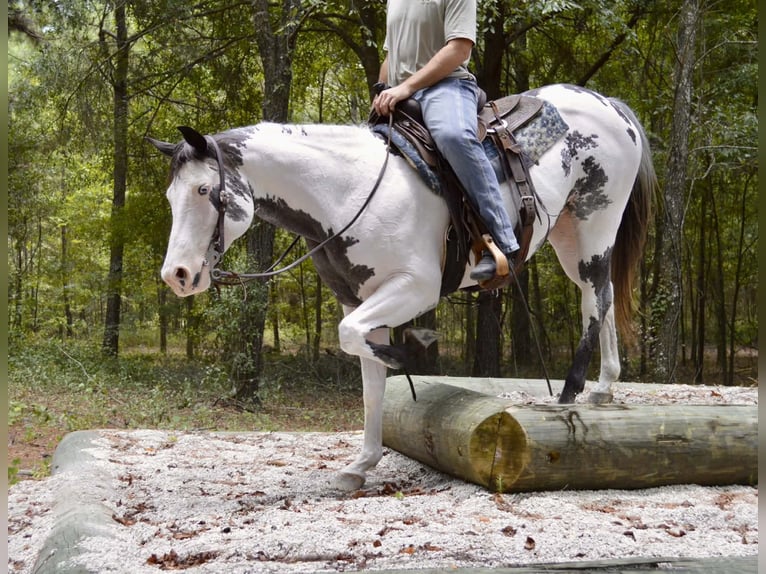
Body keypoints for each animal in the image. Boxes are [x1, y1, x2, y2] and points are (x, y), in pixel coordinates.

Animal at [147, 83, 656, 491]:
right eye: (171, 196)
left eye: (204, 192)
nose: (176, 275)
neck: (347, 191)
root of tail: (607, 104)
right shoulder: (359, 299)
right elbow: (367, 373)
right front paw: (360, 465)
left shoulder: (415, 287)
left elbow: (353, 341)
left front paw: (414, 350)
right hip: (569, 235)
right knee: (602, 295)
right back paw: (603, 387)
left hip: (595, 223)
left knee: (598, 298)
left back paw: (570, 391)